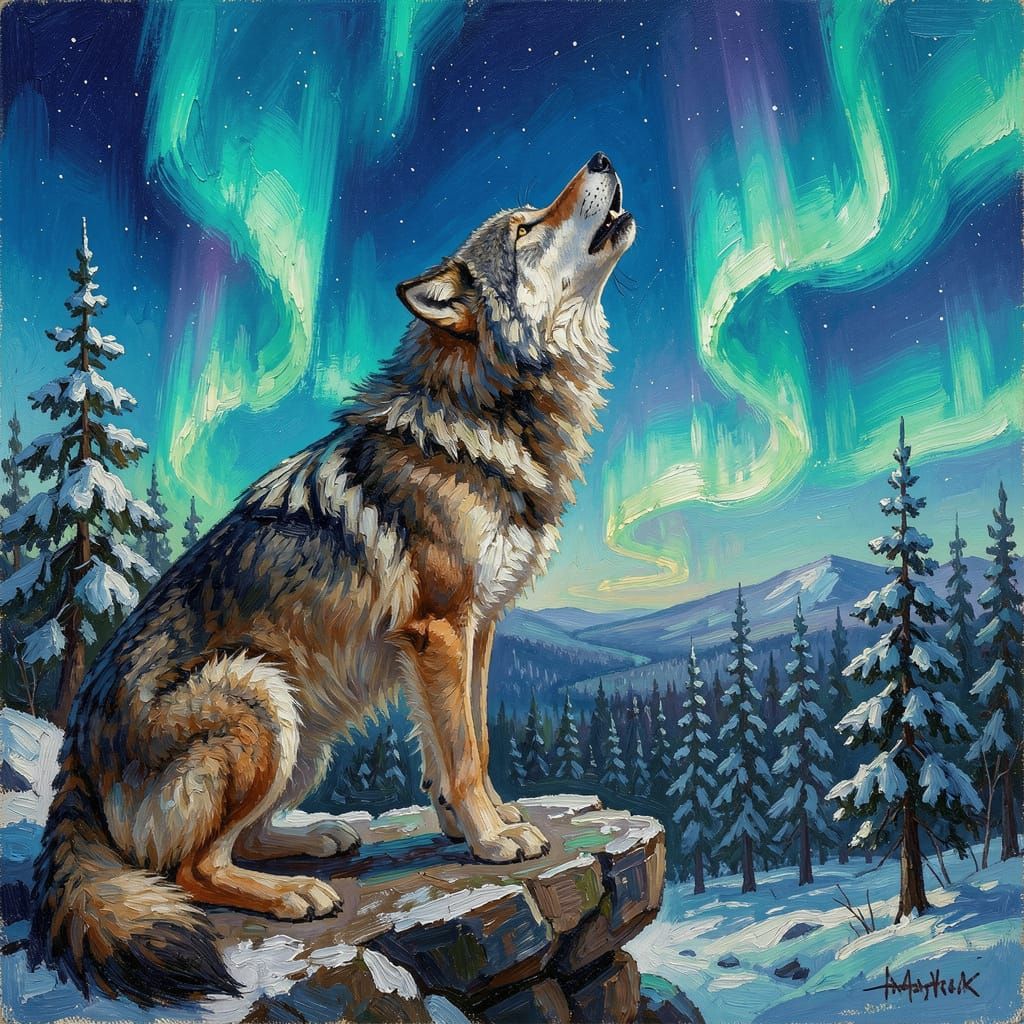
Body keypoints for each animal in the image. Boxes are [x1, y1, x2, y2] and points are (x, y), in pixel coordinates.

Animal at [28, 152, 635, 1005]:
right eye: (525, 227)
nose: (602, 159)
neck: (487, 413)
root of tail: (75, 753)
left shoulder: (477, 629)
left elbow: (468, 744)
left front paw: (475, 823)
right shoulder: (440, 629)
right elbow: (464, 750)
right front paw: (491, 840)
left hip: (302, 740)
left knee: (235, 843)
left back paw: (316, 838)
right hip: (259, 698)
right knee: (188, 869)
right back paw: (294, 896)